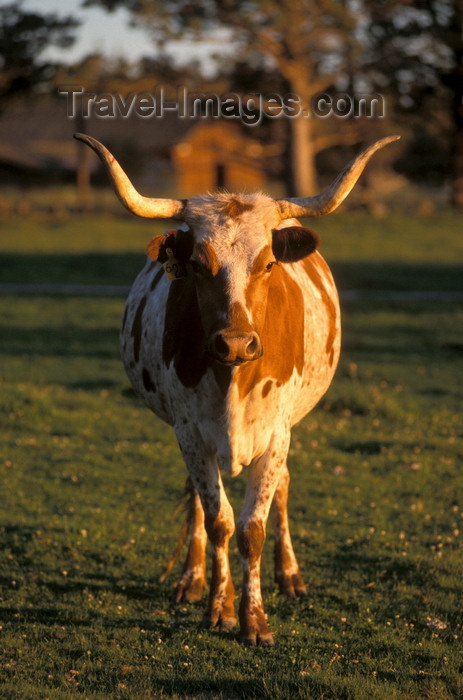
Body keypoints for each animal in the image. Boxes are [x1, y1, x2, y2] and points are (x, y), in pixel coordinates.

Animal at [74, 131, 400, 644]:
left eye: (267, 264)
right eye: (198, 264)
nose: (235, 342)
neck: (232, 379)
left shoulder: (277, 433)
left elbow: (253, 529)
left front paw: (255, 621)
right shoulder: (190, 433)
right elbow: (220, 522)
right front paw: (219, 609)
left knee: (283, 487)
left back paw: (290, 577)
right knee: (198, 501)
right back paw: (191, 581)